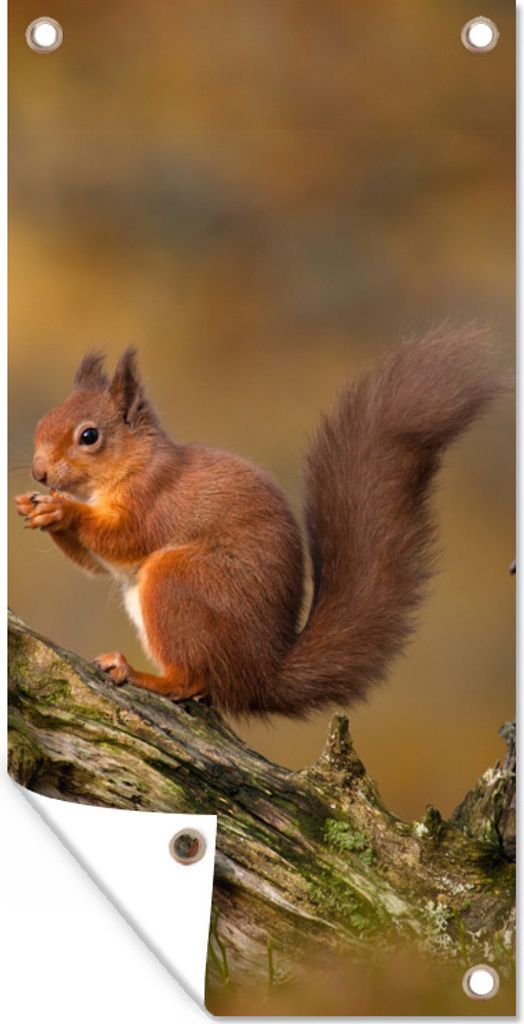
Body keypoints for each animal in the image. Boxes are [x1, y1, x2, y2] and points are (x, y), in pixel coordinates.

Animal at [15, 325, 504, 717]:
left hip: (178, 581)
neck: (134, 465)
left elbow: (123, 539)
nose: (39, 473)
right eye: (41, 423)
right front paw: (36, 506)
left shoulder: (155, 500)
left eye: (89, 436)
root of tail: (259, 674)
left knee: (191, 680)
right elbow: (96, 565)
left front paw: (62, 509)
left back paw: (138, 674)